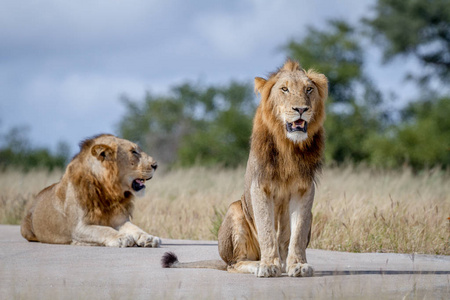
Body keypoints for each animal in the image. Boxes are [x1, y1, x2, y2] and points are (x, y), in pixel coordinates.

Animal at [21, 135, 162, 247]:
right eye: (134, 152)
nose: (156, 165)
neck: (108, 191)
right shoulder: (78, 227)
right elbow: (103, 230)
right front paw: (121, 237)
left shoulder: (120, 220)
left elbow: (136, 228)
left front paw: (148, 238)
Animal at [162, 59, 326, 278]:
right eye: (284, 89)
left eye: (309, 89)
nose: (301, 109)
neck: (288, 146)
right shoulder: (260, 186)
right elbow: (266, 230)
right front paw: (268, 265)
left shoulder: (304, 188)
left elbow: (297, 233)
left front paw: (298, 265)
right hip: (235, 209)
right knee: (235, 263)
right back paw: (258, 264)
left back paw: (282, 265)